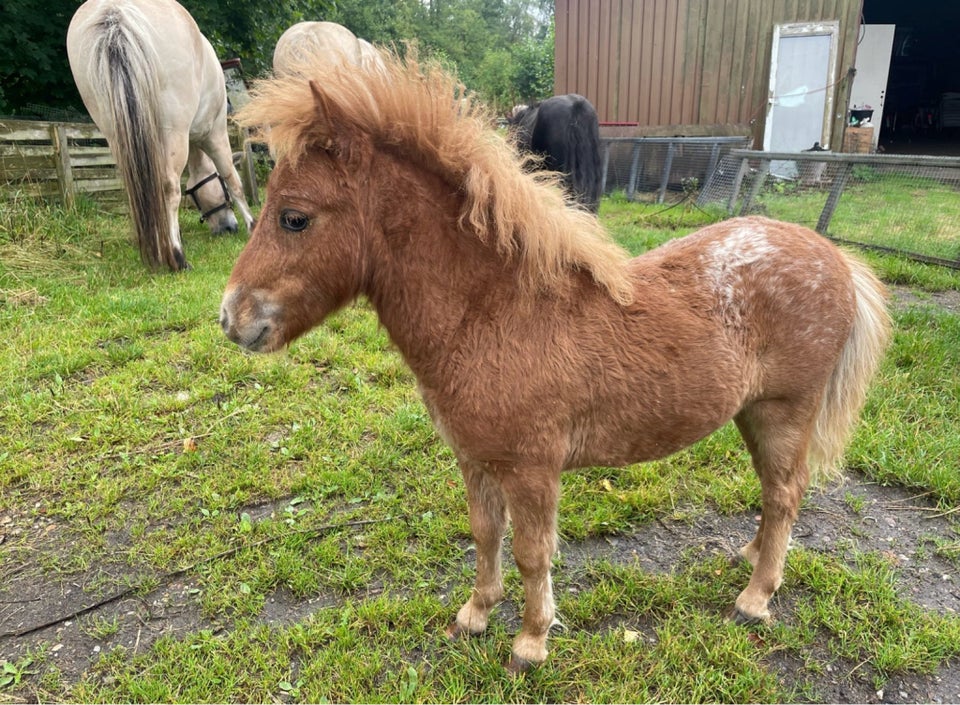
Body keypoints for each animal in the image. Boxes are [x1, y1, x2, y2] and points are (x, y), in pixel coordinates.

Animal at [66, 0, 258, 270]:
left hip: (114, 131)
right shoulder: (215, 134)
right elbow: (233, 179)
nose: (228, 228)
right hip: (174, 128)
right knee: (168, 185)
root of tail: (114, 11)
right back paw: (176, 256)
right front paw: (253, 225)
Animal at [221, 51, 896, 672]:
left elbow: (532, 553)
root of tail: (835, 258)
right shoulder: (476, 459)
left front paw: (530, 641)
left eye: (295, 218)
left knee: (785, 494)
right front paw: (475, 614)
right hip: (753, 414)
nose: (232, 318)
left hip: (787, 411)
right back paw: (751, 558)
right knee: (774, 493)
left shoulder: (532, 470)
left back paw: (755, 599)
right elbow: (485, 534)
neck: (494, 311)